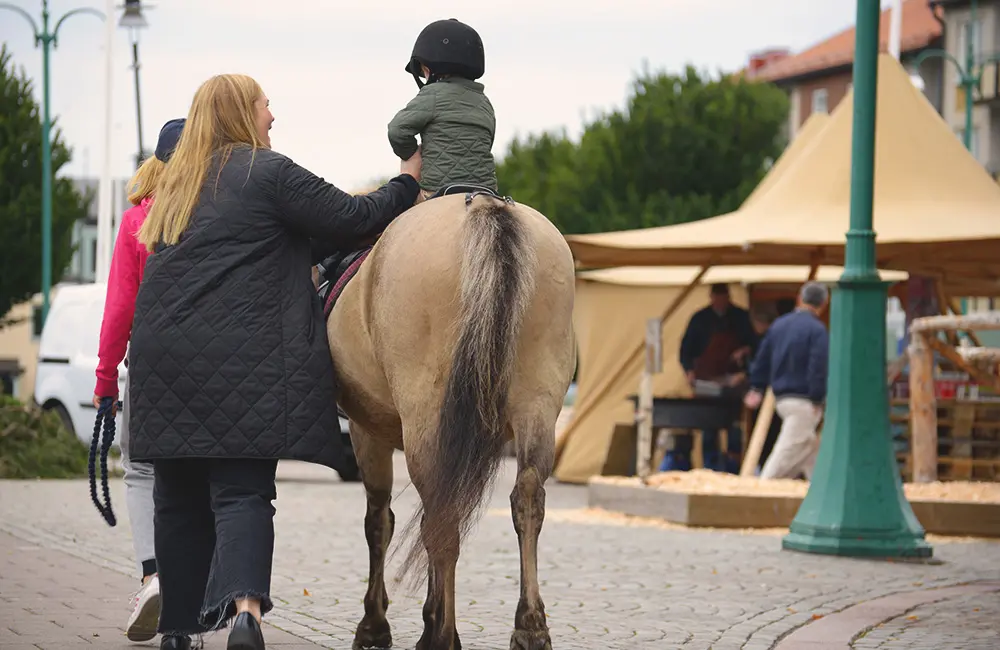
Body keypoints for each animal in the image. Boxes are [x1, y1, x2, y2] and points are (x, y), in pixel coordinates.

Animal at [328, 189, 580, 648]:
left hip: (425, 416)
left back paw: (443, 636)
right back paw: (529, 626)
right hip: (537, 405)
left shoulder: (366, 432)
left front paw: (376, 624)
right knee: (524, 499)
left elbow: (379, 522)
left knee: (441, 516)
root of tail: (485, 207)